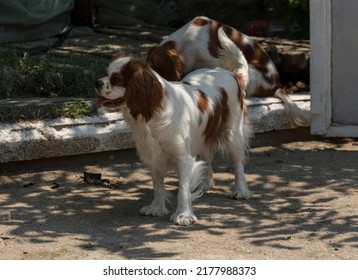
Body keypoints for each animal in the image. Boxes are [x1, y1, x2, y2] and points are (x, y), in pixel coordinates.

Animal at [95, 56, 252, 225]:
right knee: (207, 159)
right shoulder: (154, 155)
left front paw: (184, 215)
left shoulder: (182, 157)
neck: (153, 113)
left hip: (233, 135)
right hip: (203, 137)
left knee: (238, 164)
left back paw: (240, 191)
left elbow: (182, 190)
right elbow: (157, 185)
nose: (97, 82)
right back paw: (204, 184)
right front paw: (156, 208)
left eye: (116, 79)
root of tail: (229, 73)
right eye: (105, 73)